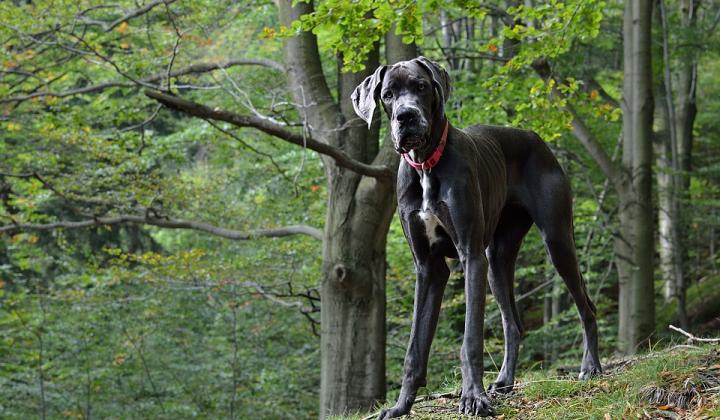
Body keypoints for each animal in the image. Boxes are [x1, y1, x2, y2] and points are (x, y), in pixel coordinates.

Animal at [350, 56, 600, 416]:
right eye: (387, 94)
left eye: (421, 86)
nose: (406, 116)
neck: (426, 165)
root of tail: (535, 138)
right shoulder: (429, 268)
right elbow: (415, 347)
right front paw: (400, 406)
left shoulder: (470, 255)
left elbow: (470, 340)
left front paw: (473, 397)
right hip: (496, 261)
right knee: (513, 323)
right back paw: (505, 381)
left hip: (556, 240)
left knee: (586, 307)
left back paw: (590, 367)